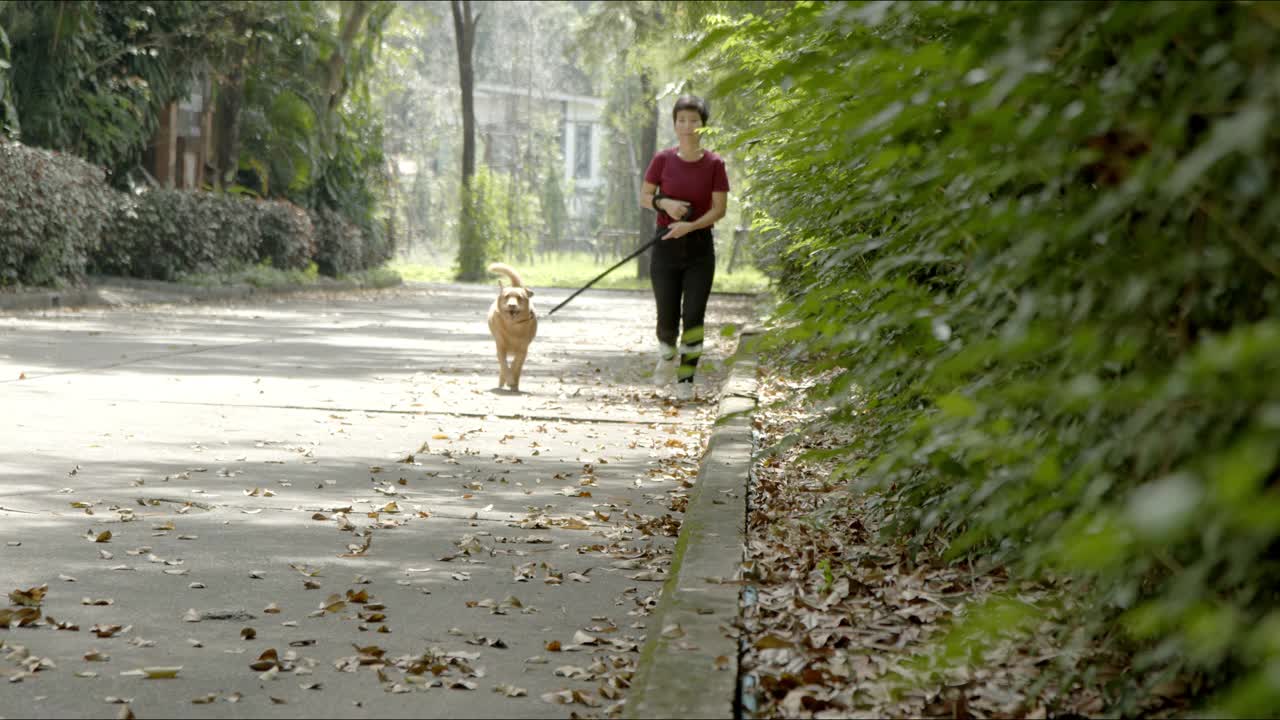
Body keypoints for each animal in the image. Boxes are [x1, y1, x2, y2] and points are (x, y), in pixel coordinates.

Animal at [483, 260, 535, 389]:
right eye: (506, 297)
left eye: (519, 298)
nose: (512, 305)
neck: (512, 327)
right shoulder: (500, 347)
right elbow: (504, 365)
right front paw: (509, 379)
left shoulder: (523, 349)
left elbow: (516, 365)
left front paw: (513, 381)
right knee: (503, 368)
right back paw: (503, 382)